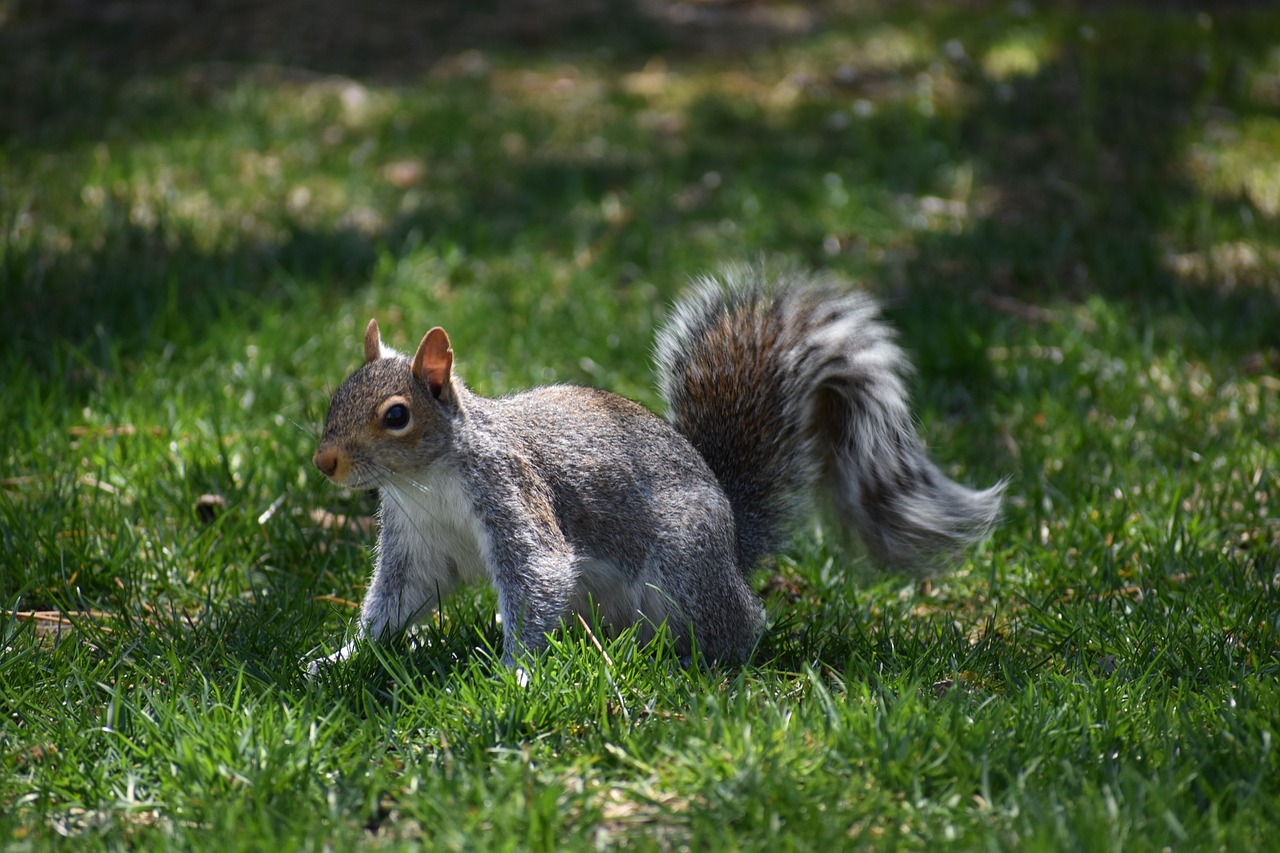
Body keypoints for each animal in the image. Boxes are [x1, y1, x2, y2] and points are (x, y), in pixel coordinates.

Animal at [307, 266, 998, 671]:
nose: (324, 462)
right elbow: (397, 601)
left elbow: (537, 574)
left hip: (682, 568)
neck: (426, 482)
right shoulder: (417, 540)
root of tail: (733, 545)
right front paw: (343, 657)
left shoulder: (510, 493)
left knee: (738, 627)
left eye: (396, 415)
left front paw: (517, 673)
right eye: (337, 393)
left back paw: (697, 658)